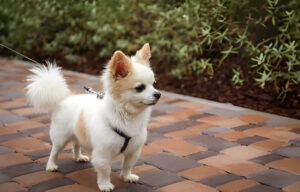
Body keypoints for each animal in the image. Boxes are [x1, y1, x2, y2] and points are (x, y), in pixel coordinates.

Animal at [26, 44, 159, 192]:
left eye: (154, 84)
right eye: (140, 88)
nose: (158, 94)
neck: (128, 116)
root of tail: (65, 97)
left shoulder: (133, 150)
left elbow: (127, 165)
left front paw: (127, 177)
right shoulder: (103, 154)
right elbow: (105, 171)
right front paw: (105, 185)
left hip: (77, 133)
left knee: (76, 144)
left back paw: (78, 157)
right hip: (61, 137)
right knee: (54, 151)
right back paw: (51, 165)